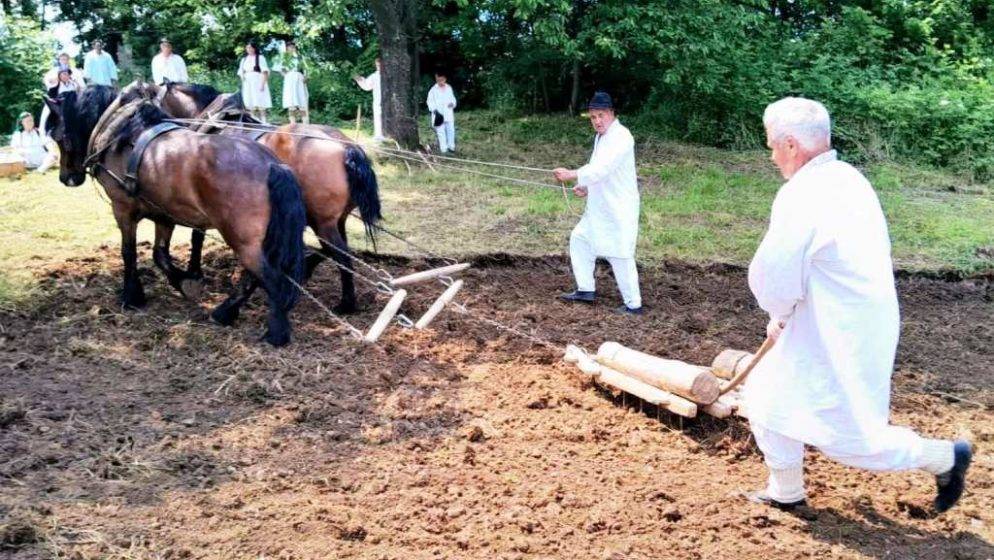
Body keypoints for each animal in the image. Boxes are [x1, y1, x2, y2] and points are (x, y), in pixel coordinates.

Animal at [44, 85, 308, 346]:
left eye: (57, 136)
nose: (67, 178)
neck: (122, 136)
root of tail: (272, 165)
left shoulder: (122, 209)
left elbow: (129, 252)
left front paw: (132, 295)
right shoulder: (164, 215)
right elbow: (160, 254)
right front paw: (184, 282)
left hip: (243, 239)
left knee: (271, 280)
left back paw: (276, 333)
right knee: (253, 277)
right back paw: (224, 313)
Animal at [154, 81, 382, 314]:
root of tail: (348, 148)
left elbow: (197, 236)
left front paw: (194, 271)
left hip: (322, 222)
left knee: (340, 254)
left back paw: (345, 303)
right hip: (336, 220)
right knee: (337, 251)